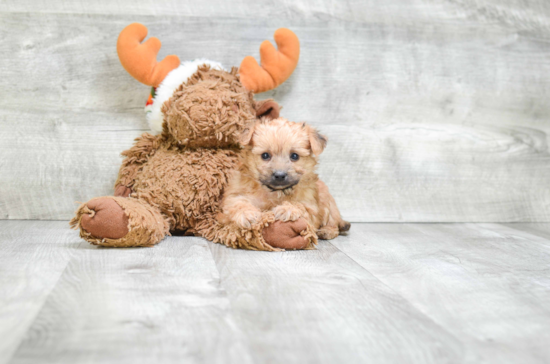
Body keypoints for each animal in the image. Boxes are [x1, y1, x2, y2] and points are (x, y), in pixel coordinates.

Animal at [220, 118, 350, 240]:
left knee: (333, 223)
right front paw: (247, 214)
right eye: (265, 155)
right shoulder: (234, 196)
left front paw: (286, 209)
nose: (280, 175)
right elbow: (237, 202)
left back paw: (326, 231)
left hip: (329, 203)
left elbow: (300, 206)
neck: (275, 192)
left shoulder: (311, 208)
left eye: (294, 156)